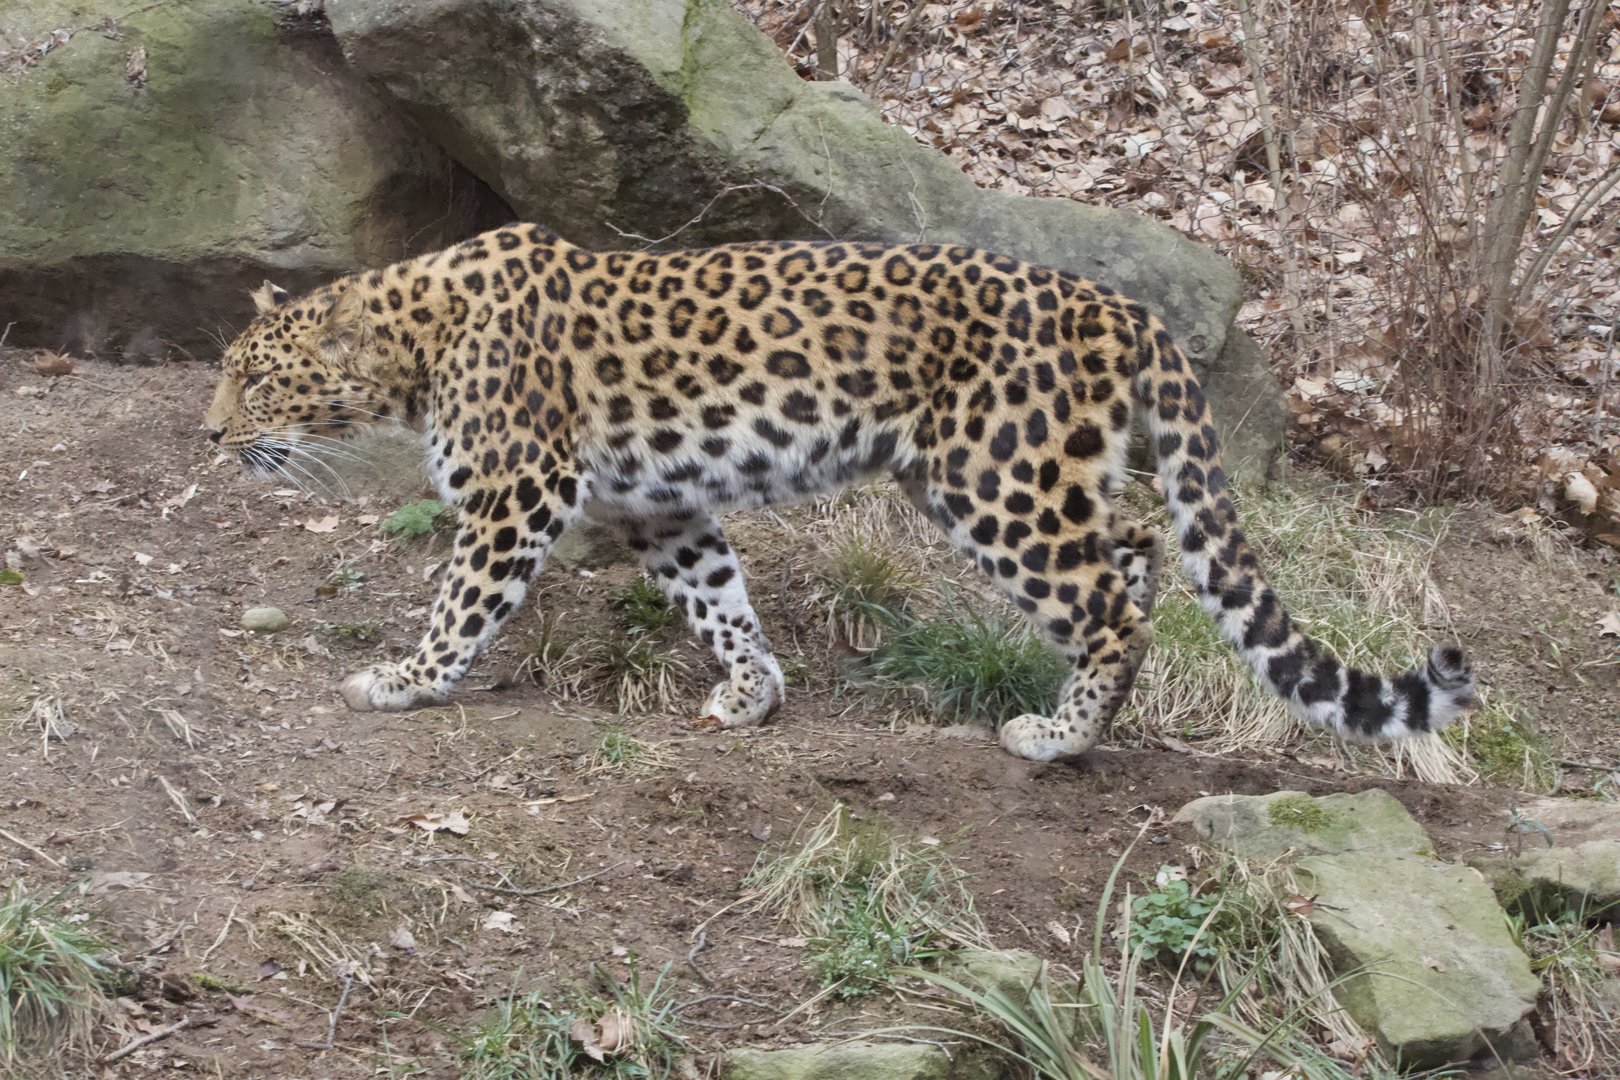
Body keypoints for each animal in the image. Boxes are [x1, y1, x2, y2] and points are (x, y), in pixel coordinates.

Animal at [203, 223, 1475, 761]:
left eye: (255, 377)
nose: (210, 432)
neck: (412, 344)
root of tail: (1119, 305)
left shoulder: (520, 491)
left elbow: (462, 600)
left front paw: (407, 680)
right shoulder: (661, 504)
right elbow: (718, 597)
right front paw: (751, 694)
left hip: (994, 478)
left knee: (1110, 601)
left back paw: (1059, 737)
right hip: (1016, 474)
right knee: (1132, 548)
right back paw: (1095, 700)